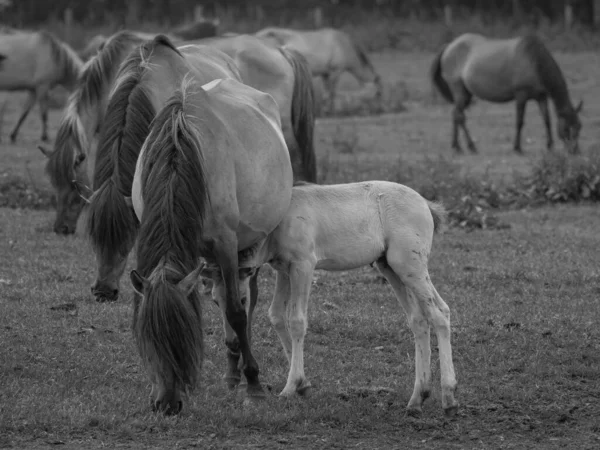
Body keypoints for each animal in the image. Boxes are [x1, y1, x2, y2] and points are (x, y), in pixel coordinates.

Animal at [127, 40, 292, 414]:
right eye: (148, 340)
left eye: (181, 339)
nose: (166, 405)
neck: (180, 149)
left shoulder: (226, 244)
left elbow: (236, 311)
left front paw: (254, 384)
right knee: (220, 294)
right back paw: (231, 374)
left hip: (246, 245)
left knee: (244, 300)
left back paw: (243, 373)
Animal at [202, 180, 460, 418]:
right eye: (215, 301)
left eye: (243, 299)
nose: (232, 342)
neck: (278, 222)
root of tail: (426, 204)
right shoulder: (283, 270)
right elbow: (275, 315)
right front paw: (303, 385)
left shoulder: (304, 265)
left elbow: (297, 320)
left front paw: (290, 387)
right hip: (389, 267)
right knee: (419, 320)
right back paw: (417, 398)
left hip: (409, 264)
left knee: (440, 313)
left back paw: (448, 398)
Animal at [428, 33, 584, 155]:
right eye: (567, 128)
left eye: (579, 126)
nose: (575, 151)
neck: (533, 61)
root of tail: (449, 46)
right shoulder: (521, 96)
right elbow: (519, 121)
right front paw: (517, 148)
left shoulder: (541, 97)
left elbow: (547, 121)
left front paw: (550, 146)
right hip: (459, 91)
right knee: (459, 116)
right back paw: (469, 147)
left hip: (466, 94)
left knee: (456, 116)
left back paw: (458, 146)